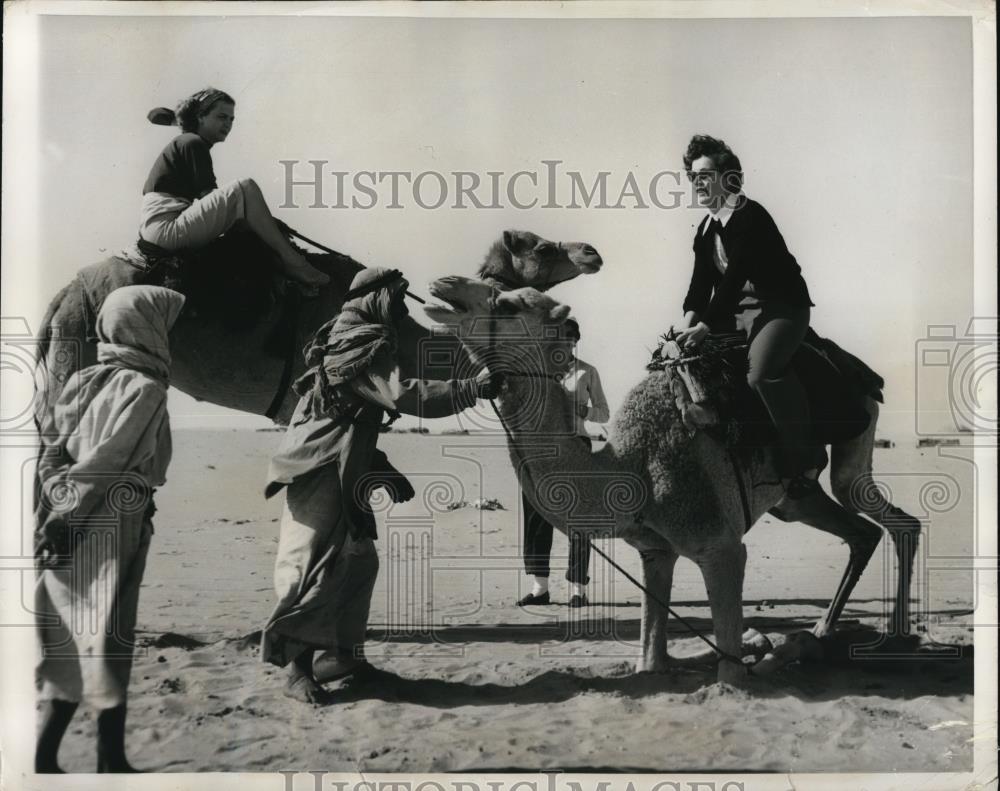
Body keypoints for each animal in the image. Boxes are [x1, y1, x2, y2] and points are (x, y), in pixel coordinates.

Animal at [420, 278, 920, 688]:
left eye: (506, 303)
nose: (443, 284)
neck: (630, 468)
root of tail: (860, 370)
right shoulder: (655, 550)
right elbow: (651, 661)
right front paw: (761, 641)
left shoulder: (721, 547)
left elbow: (732, 672)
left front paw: (772, 648)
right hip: (796, 499)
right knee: (862, 532)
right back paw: (828, 629)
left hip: (857, 430)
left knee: (888, 515)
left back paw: (891, 637)